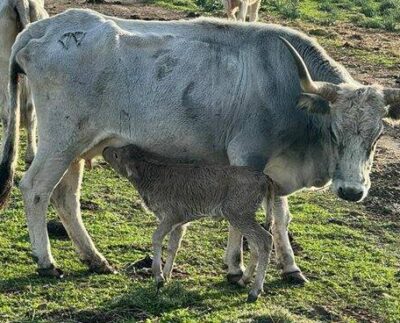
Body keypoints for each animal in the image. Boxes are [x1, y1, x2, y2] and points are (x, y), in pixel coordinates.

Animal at [102, 146, 276, 302]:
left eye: (116, 155)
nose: (105, 149)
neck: (151, 177)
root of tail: (264, 178)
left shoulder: (171, 216)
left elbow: (156, 237)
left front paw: (158, 276)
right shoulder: (180, 223)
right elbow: (173, 246)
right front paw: (167, 275)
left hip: (238, 214)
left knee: (265, 239)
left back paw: (254, 291)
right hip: (244, 217)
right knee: (255, 244)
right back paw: (243, 280)